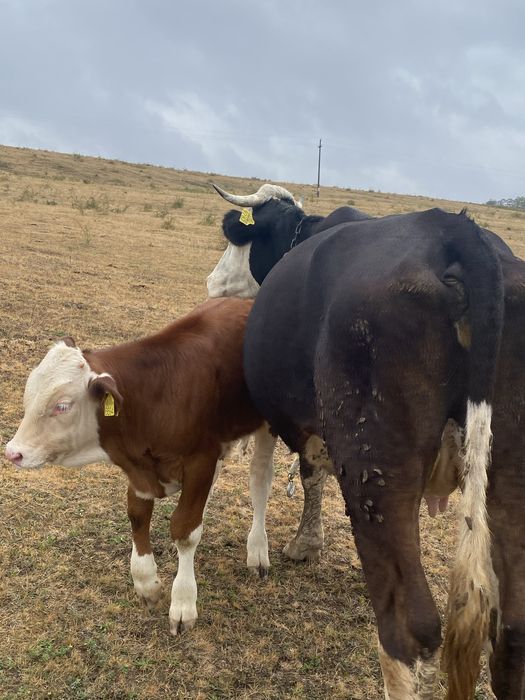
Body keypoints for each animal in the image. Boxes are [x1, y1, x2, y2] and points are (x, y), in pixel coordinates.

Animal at [4, 297, 276, 634]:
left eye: (62, 406)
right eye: (29, 395)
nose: (13, 452)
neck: (155, 394)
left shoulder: (200, 459)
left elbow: (185, 530)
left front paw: (183, 603)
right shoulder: (140, 470)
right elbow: (137, 517)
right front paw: (146, 582)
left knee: (260, 479)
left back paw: (258, 550)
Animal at [240, 208, 525, 699]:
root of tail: (456, 231)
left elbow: (309, 473)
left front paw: (304, 544)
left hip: (374, 470)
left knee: (410, 631)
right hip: (509, 476)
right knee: (511, 631)